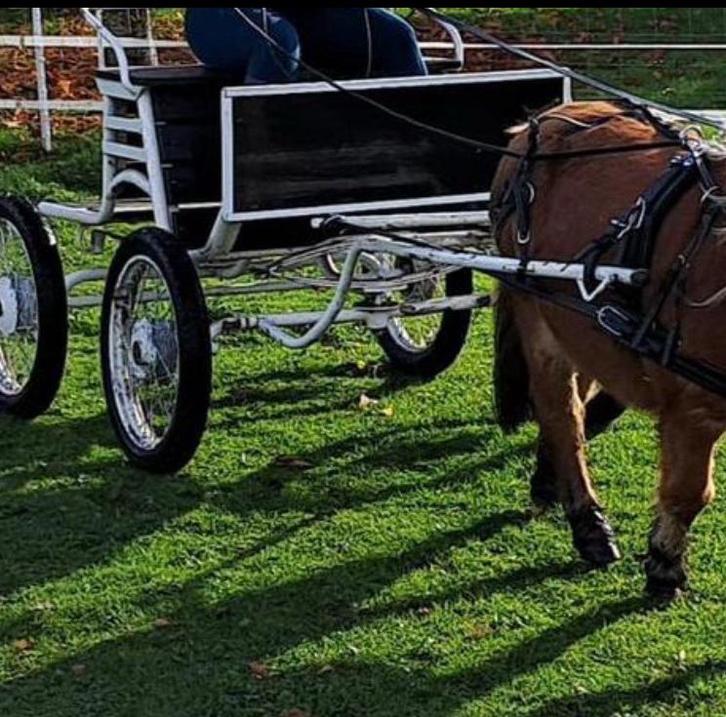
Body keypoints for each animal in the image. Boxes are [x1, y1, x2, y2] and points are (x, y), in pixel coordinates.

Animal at [491, 100, 726, 600]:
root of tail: (542, 120)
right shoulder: (694, 407)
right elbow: (689, 492)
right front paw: (663, 565)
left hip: (578, 320)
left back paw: (549, 478)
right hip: (535, 308)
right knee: (561, 411)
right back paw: (587, 520)